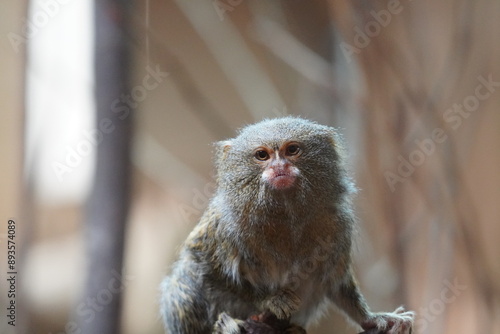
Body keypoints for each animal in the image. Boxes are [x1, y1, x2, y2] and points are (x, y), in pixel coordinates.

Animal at [160, 117, 414, 334]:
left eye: (292, 150)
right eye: (262, 155)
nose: (279, 166)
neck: (285, 212)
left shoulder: (338, 227)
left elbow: (336, 281)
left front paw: (371, 318)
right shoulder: (222, 227)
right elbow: (204, 264)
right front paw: (270, 299)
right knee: (184, 281)